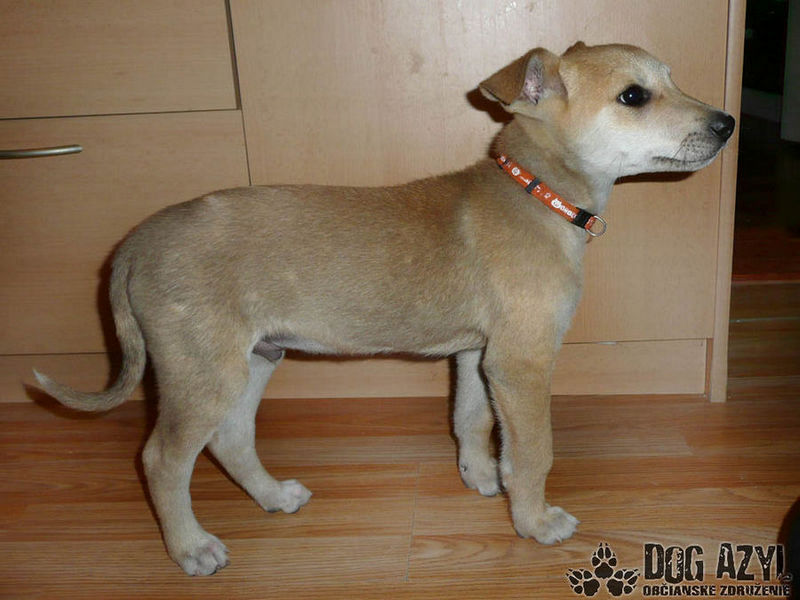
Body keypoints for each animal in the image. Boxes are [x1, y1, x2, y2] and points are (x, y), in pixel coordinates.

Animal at [35, 42, 735, 575]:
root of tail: (134, 243)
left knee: (230, 439)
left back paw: (272, 497)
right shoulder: (522, 363)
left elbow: (470, 420)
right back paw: (190, 548)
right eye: (634, 97)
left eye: (672, 79)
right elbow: (535, 450)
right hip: (202, 371)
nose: (728, 123)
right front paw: (534, 521)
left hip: (255, 358)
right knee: (161, 460)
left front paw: (482, 478)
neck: (537, 195)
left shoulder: (478, 354)